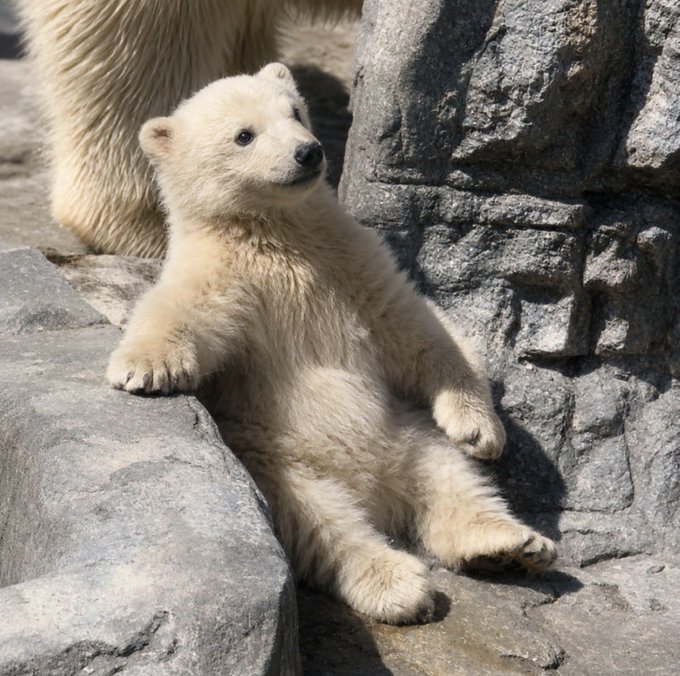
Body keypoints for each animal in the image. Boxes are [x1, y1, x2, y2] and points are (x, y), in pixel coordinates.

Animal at [107, 63, 557, 624]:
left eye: (295, 112)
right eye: (244, 135)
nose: (308, 152)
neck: (280, 234)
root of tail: (375, 487)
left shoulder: (354, 262)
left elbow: (416, 330)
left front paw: (480, 429)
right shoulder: (230, 276)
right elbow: (189, 311)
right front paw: (141, 368)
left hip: (408, 433)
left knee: (453, 479)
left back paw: (509, 545)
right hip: (272, 459)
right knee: (316, 521)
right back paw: (398, 583)